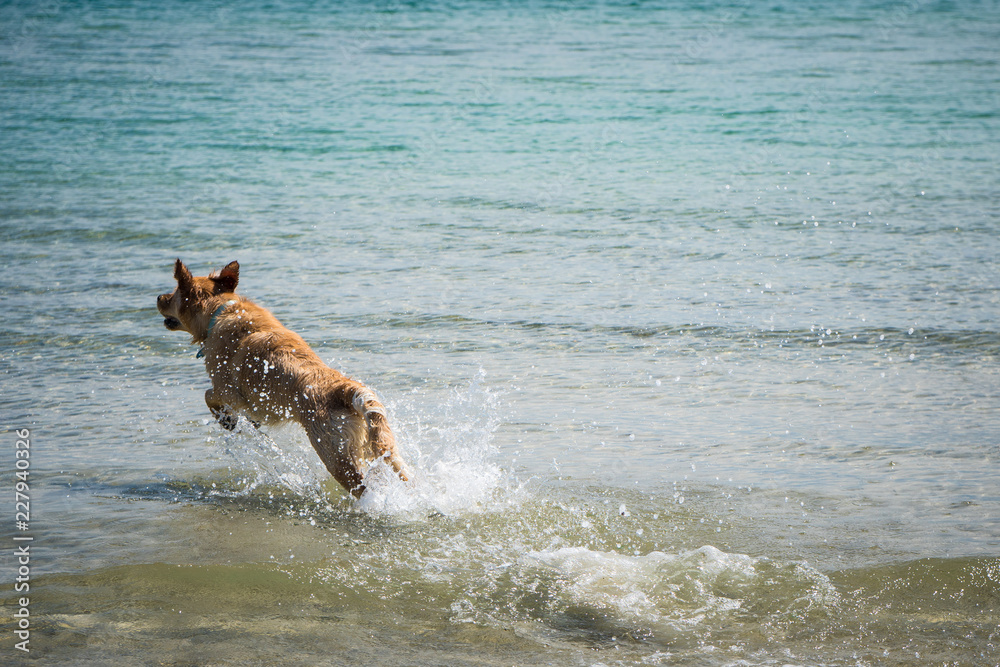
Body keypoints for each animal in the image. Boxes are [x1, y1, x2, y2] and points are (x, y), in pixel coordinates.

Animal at [158, 258, 408, 498]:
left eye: (174, 292)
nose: (159, 297)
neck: (220, 311)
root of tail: (346, 389)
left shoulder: (229, 390)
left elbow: (209, 395)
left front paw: (226, 419)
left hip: (334, 454)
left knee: (361, 487)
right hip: (381, 445)